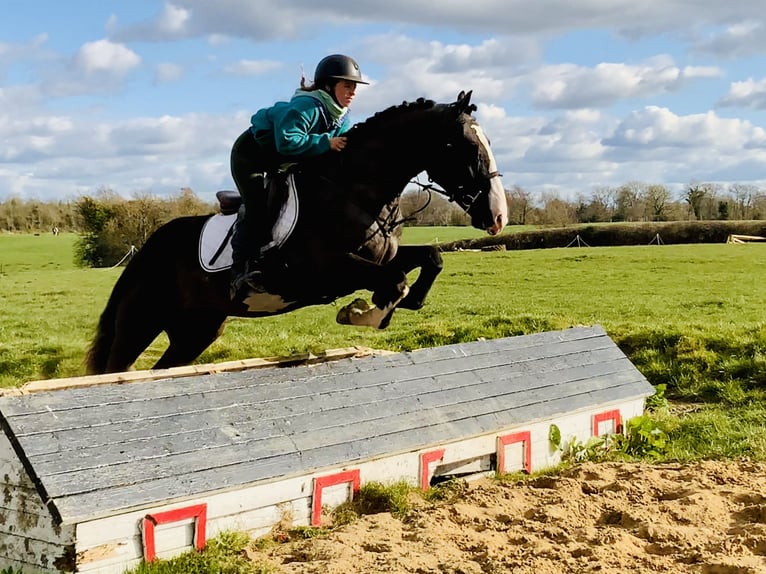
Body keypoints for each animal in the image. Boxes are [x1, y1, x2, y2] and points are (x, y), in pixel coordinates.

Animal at [85, 91, 510, 374]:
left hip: (196, 329)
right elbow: (394, 281)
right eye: (461, 146)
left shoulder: (381, 257)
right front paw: (361, 313)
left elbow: (428, 260)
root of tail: (149, 247)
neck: (355, 191)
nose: (499, 217)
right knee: (114, 368)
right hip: (142, 321)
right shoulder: (322, 273)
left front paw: (390, 306)